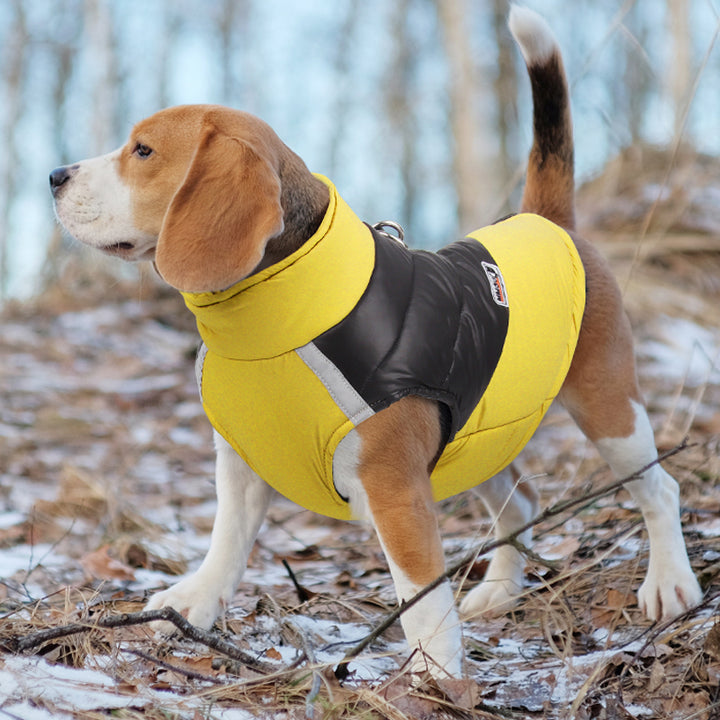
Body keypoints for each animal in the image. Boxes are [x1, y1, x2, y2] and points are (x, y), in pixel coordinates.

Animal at [49, 8, 696, 676]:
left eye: (143, 150)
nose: (54, 176)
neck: (275, 322)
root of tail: (546, 221)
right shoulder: (243, 460)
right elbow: (226, 541)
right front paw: (194, 603)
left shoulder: (395, 487)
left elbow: (422, 600)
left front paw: (434, 677)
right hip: (474, 435)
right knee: (522, 501)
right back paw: (498, 590)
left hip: (607, 406)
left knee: (658, 488)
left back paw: (670, 584)